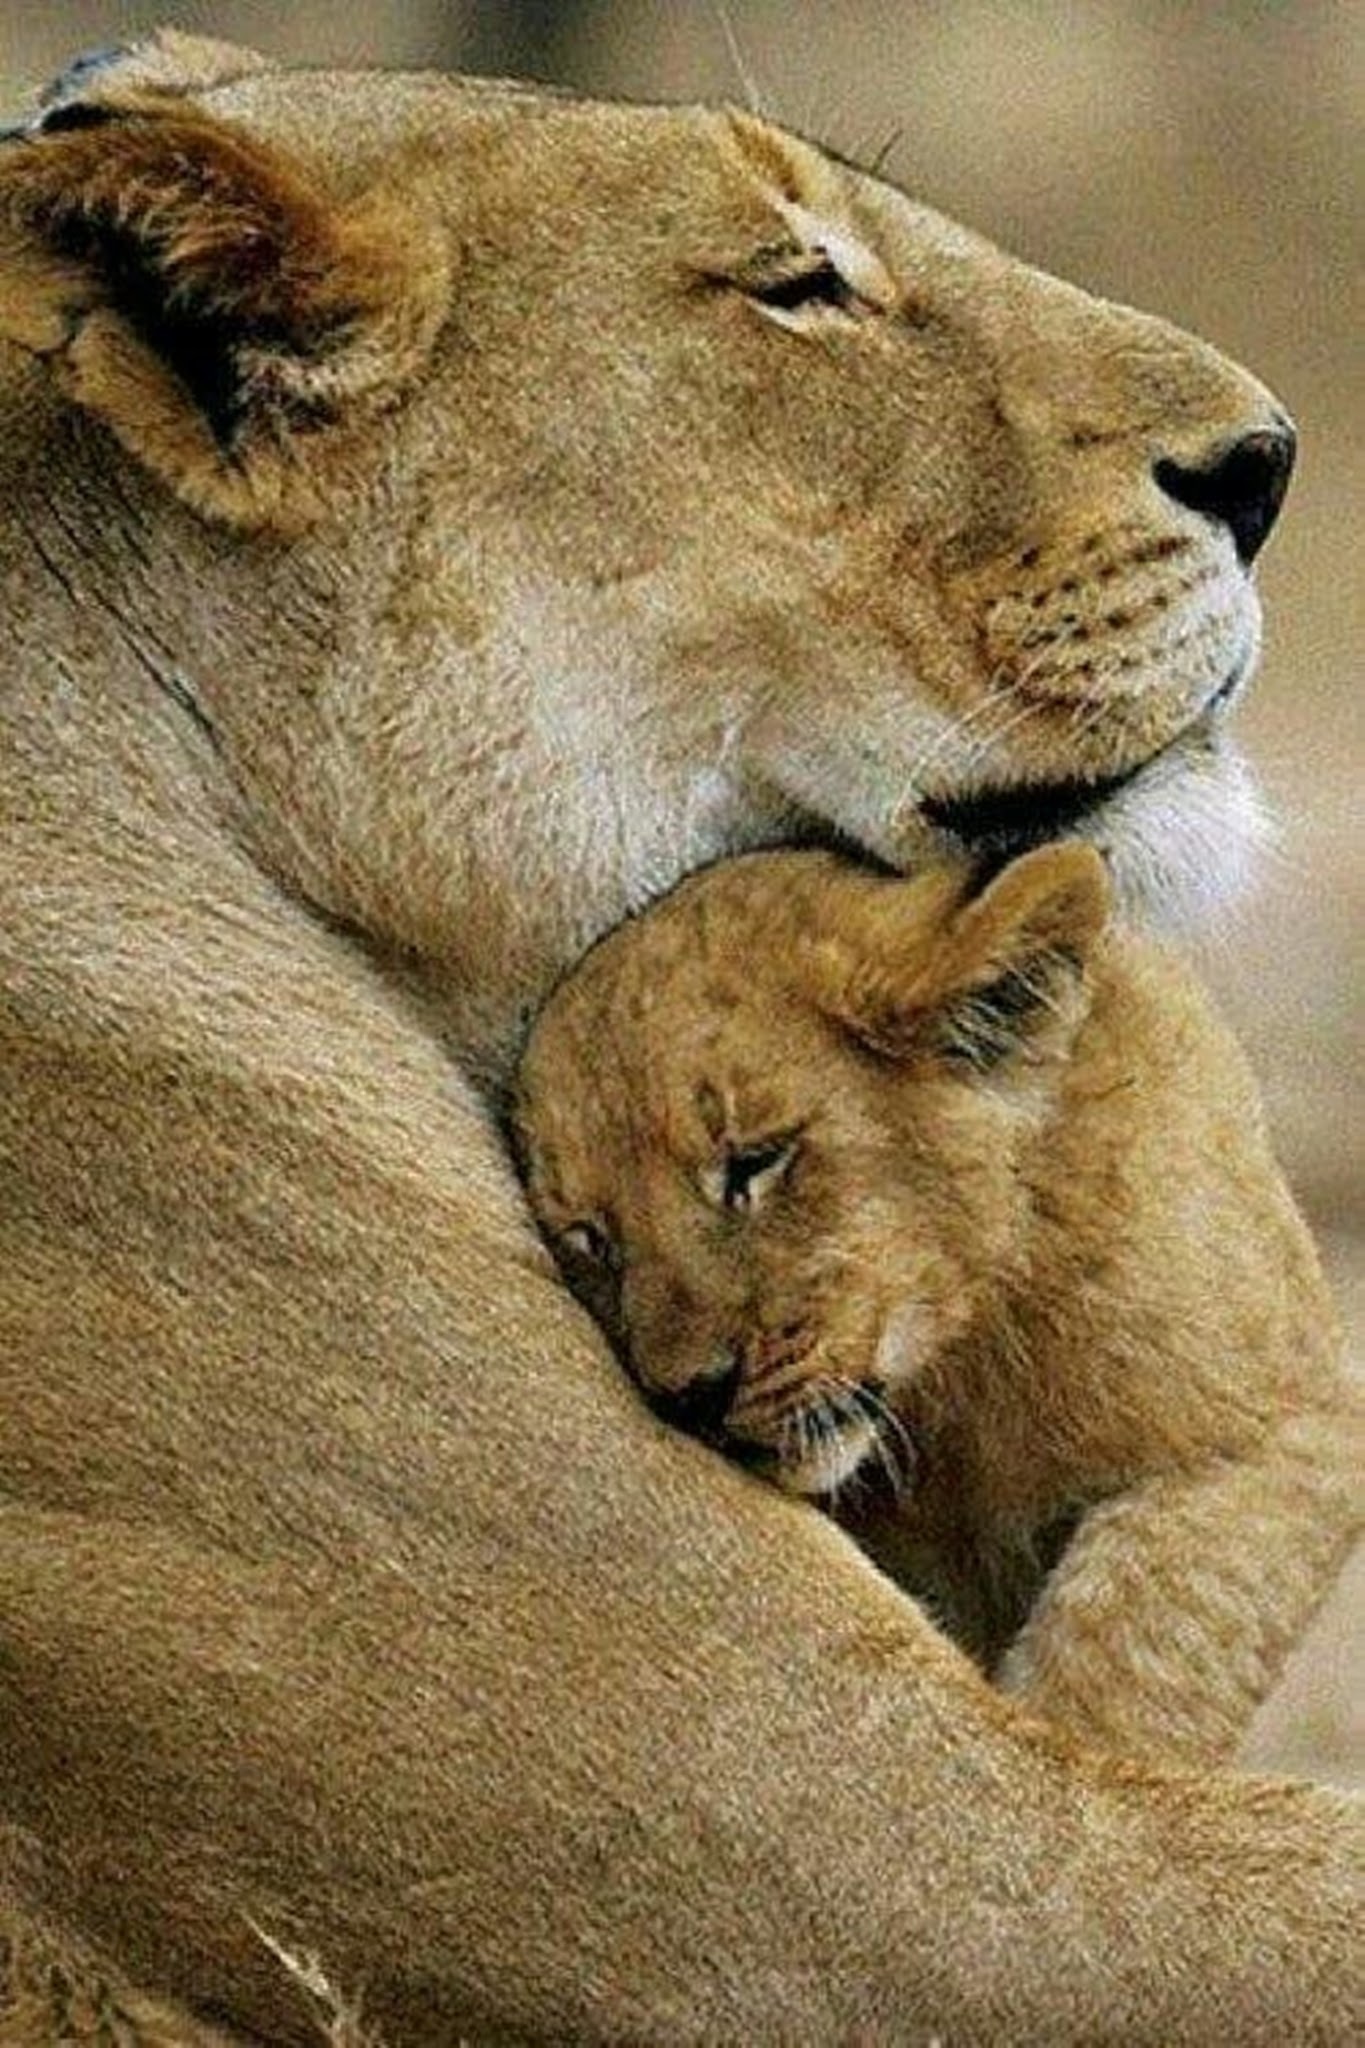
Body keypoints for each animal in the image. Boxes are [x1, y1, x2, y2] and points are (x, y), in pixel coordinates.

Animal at [515, 839, 1362, 1766]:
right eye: (590, 1238)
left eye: (754, 1161)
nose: (691, 1395)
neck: (960, 1376)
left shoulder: (1291, 1425)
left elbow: (1143, 1632)